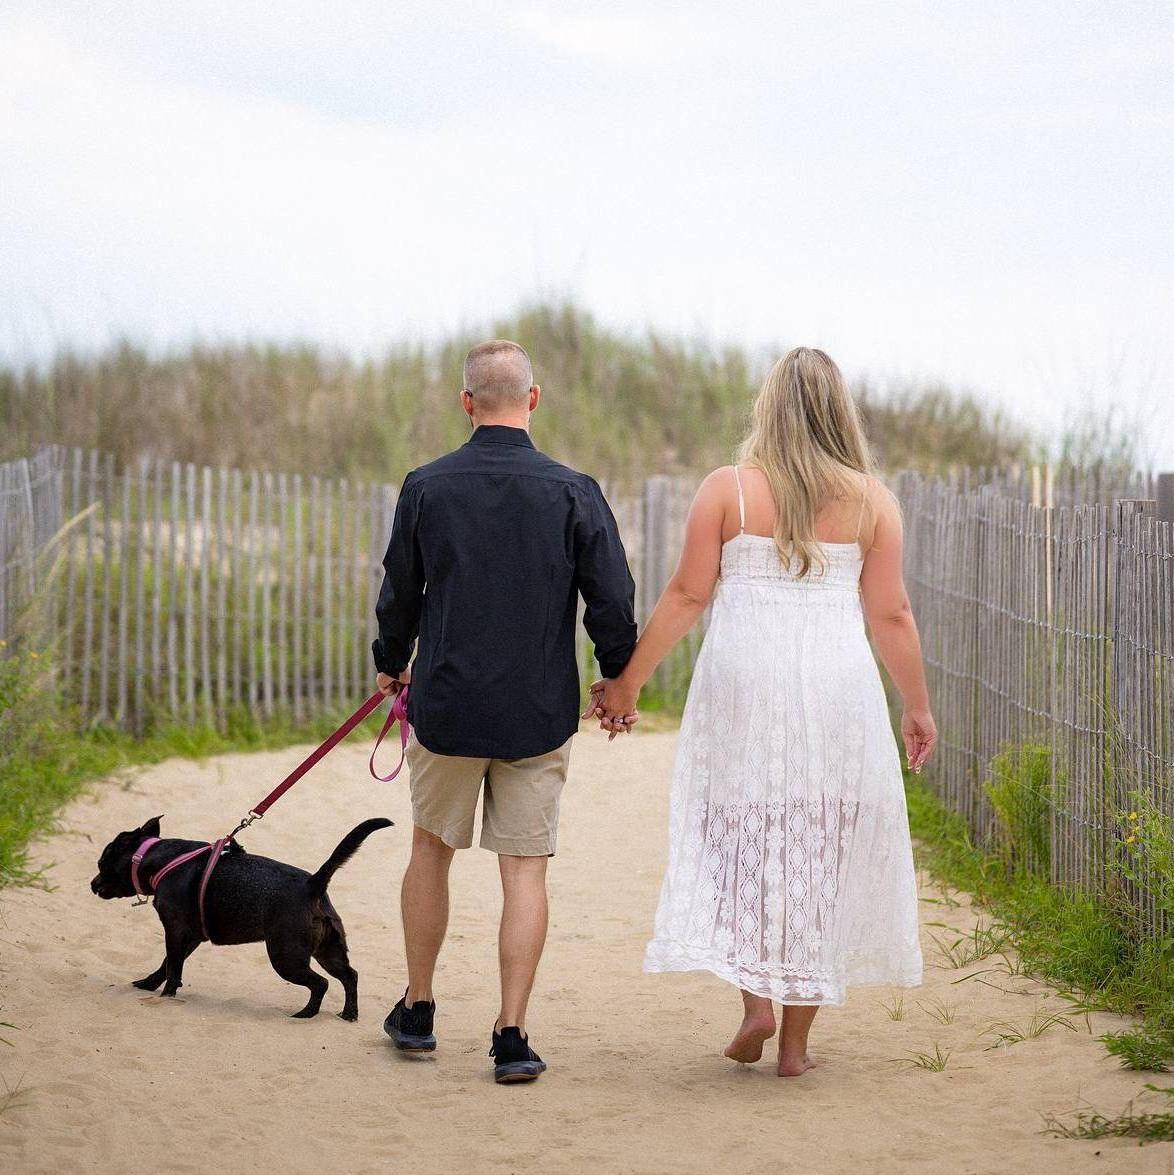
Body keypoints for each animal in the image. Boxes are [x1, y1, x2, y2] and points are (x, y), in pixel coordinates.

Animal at [91, 815, 392, 1020]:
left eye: (102, 862)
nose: (92, 884)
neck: (157, 859)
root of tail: (313, 884)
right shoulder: (190, 937)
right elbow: (168, 964)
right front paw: (149, 984)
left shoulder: (175, 931)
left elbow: (173, 966)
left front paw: (166, 996)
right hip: (328, 952)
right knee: (349, 976)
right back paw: (349, 1014)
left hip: (286, 957)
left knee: (321, 983)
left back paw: (306, 1014)